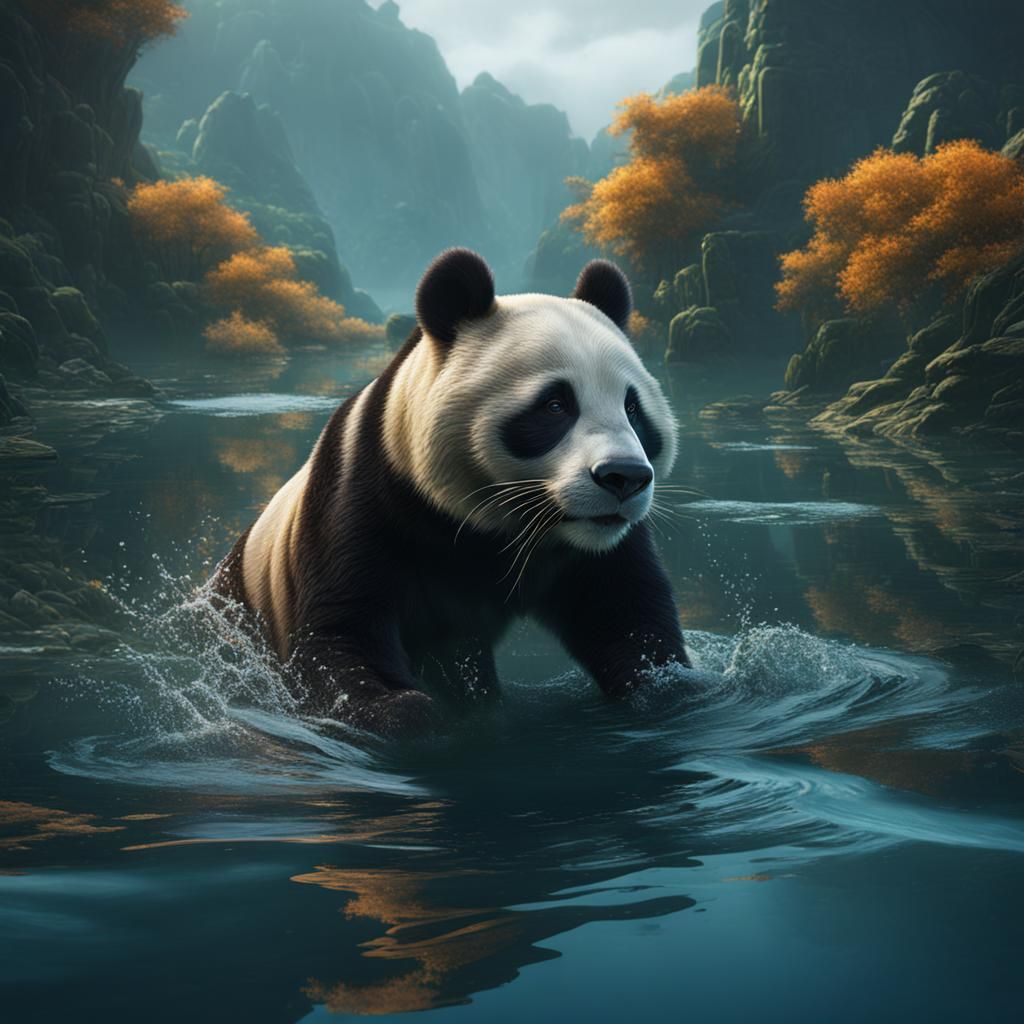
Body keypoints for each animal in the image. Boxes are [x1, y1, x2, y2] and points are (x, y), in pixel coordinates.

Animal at [212, 248, 689, 735]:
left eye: (633, 408)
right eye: (556, 405)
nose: (624, 477)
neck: (485, 528)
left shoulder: (598, 547)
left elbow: (623, 612)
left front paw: (660, 688)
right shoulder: (361, 495)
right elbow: (340, 629)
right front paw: (403, 711)